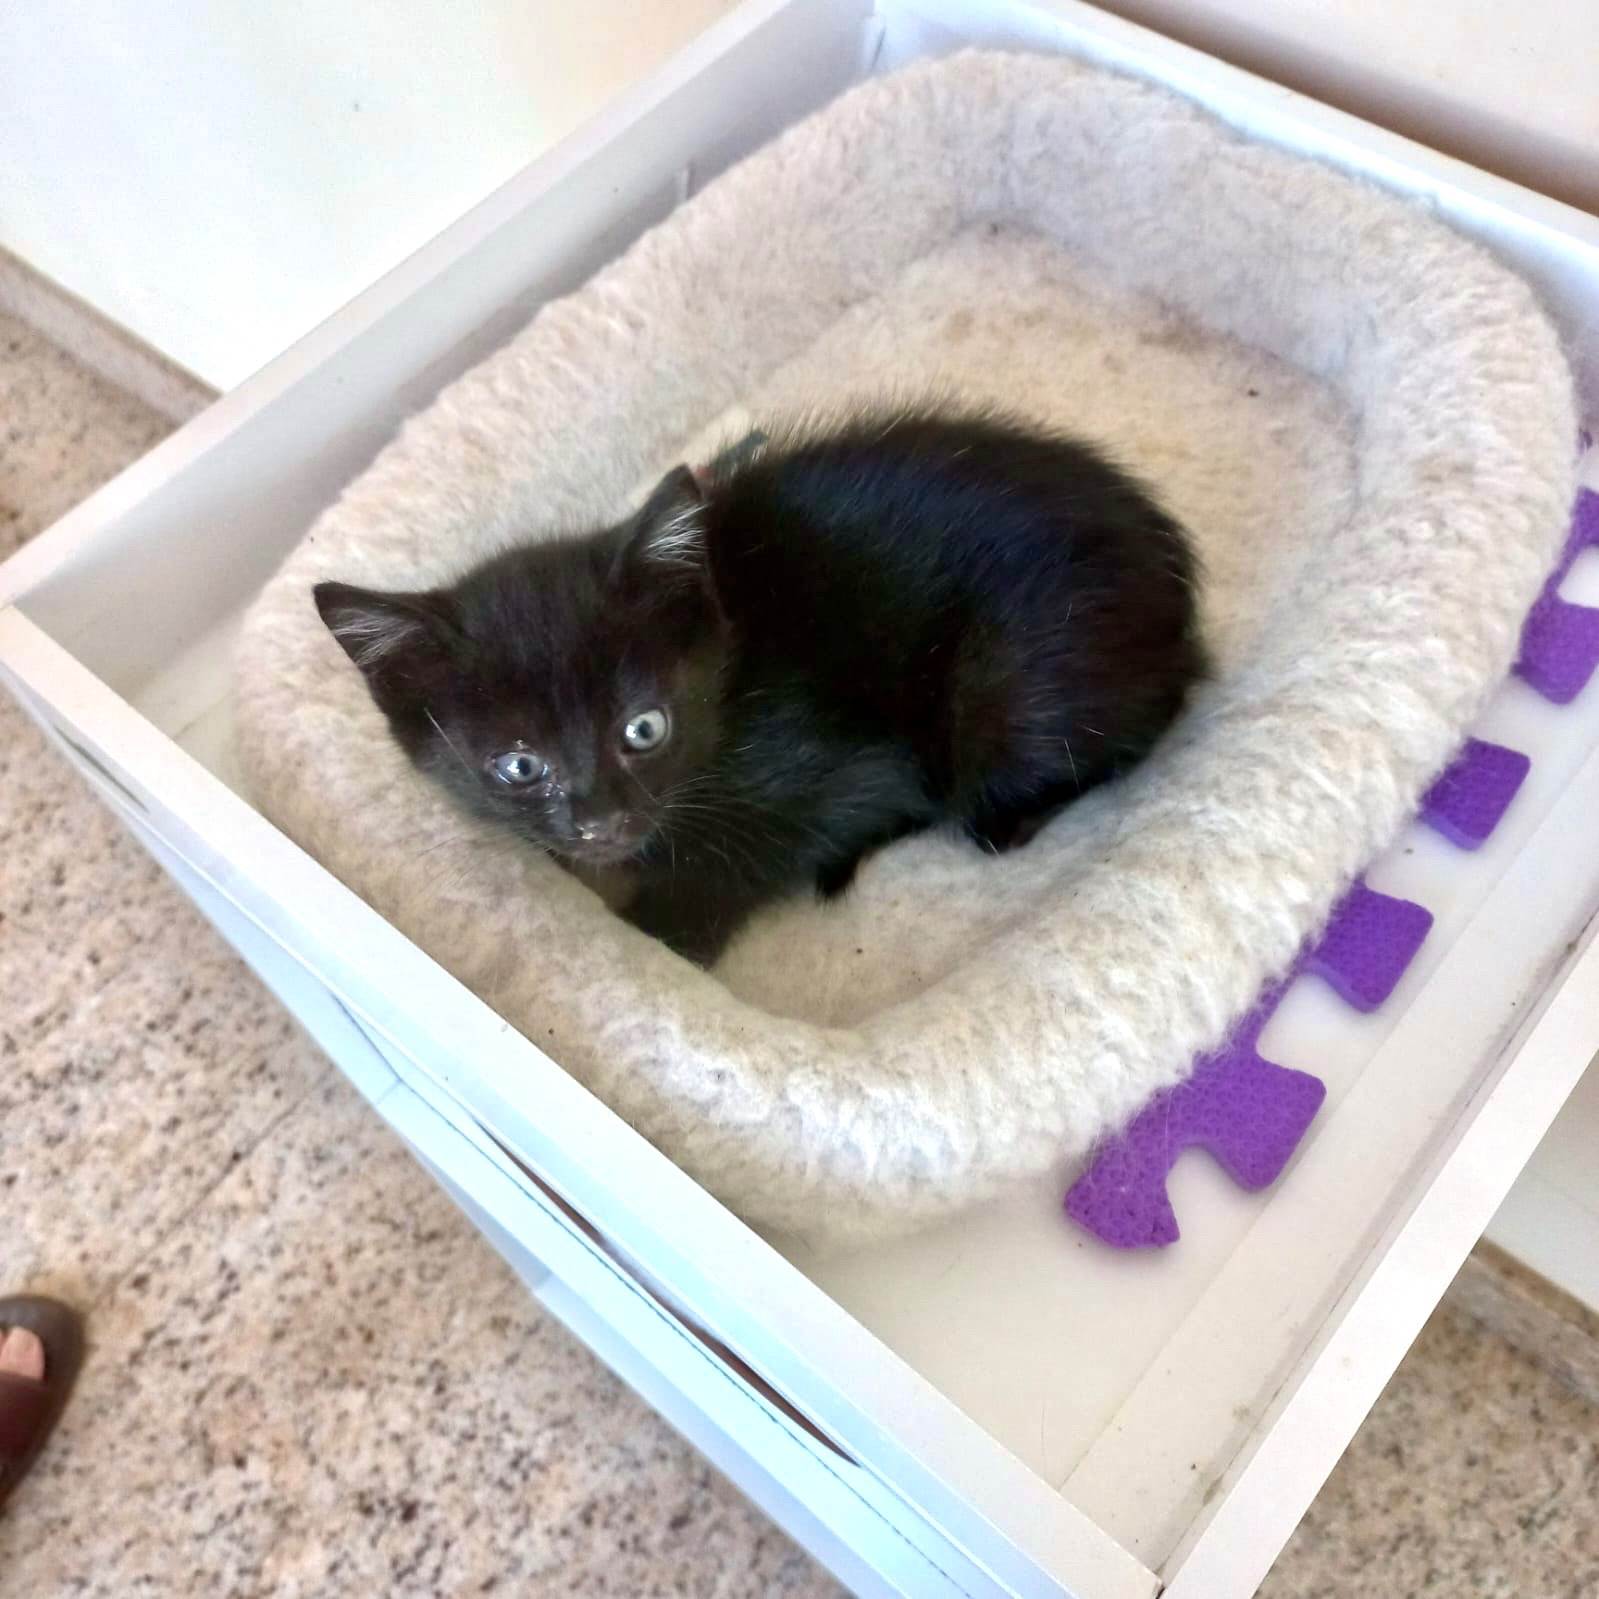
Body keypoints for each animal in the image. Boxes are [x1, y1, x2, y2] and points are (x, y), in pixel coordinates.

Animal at [315, 407, 1204, 965]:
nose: (601, 821)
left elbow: (751, 855)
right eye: (518, 764)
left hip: (1006, 696)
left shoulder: (856, 768)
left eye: (644, 727)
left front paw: (666, 927)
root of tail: (1176, 586)